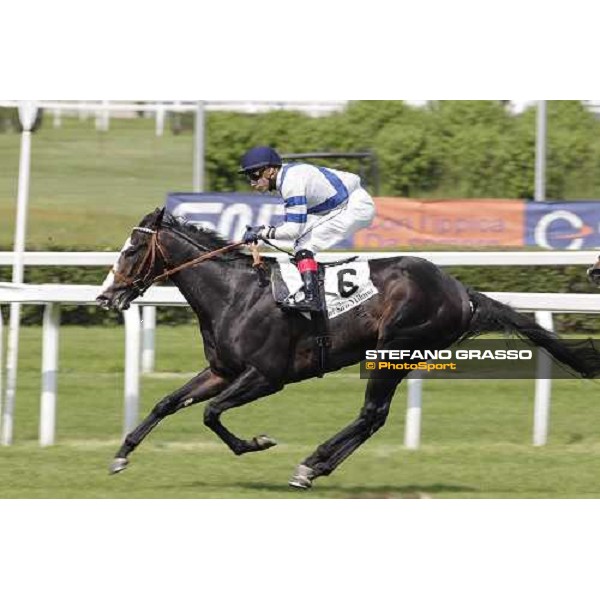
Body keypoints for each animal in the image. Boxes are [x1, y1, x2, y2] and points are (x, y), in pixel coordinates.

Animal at [96, 209, 600, 490]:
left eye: (133, 249)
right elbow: (167, 402)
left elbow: (211, 413)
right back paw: (316, 466)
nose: (106, 297)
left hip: (396, 348)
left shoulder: (266, 376)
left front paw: (256, 443)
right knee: (372, 418)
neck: (236, 294)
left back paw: (310, 465)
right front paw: (121, 454)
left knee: (371, 414)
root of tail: (464, 292)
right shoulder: (222, 370)